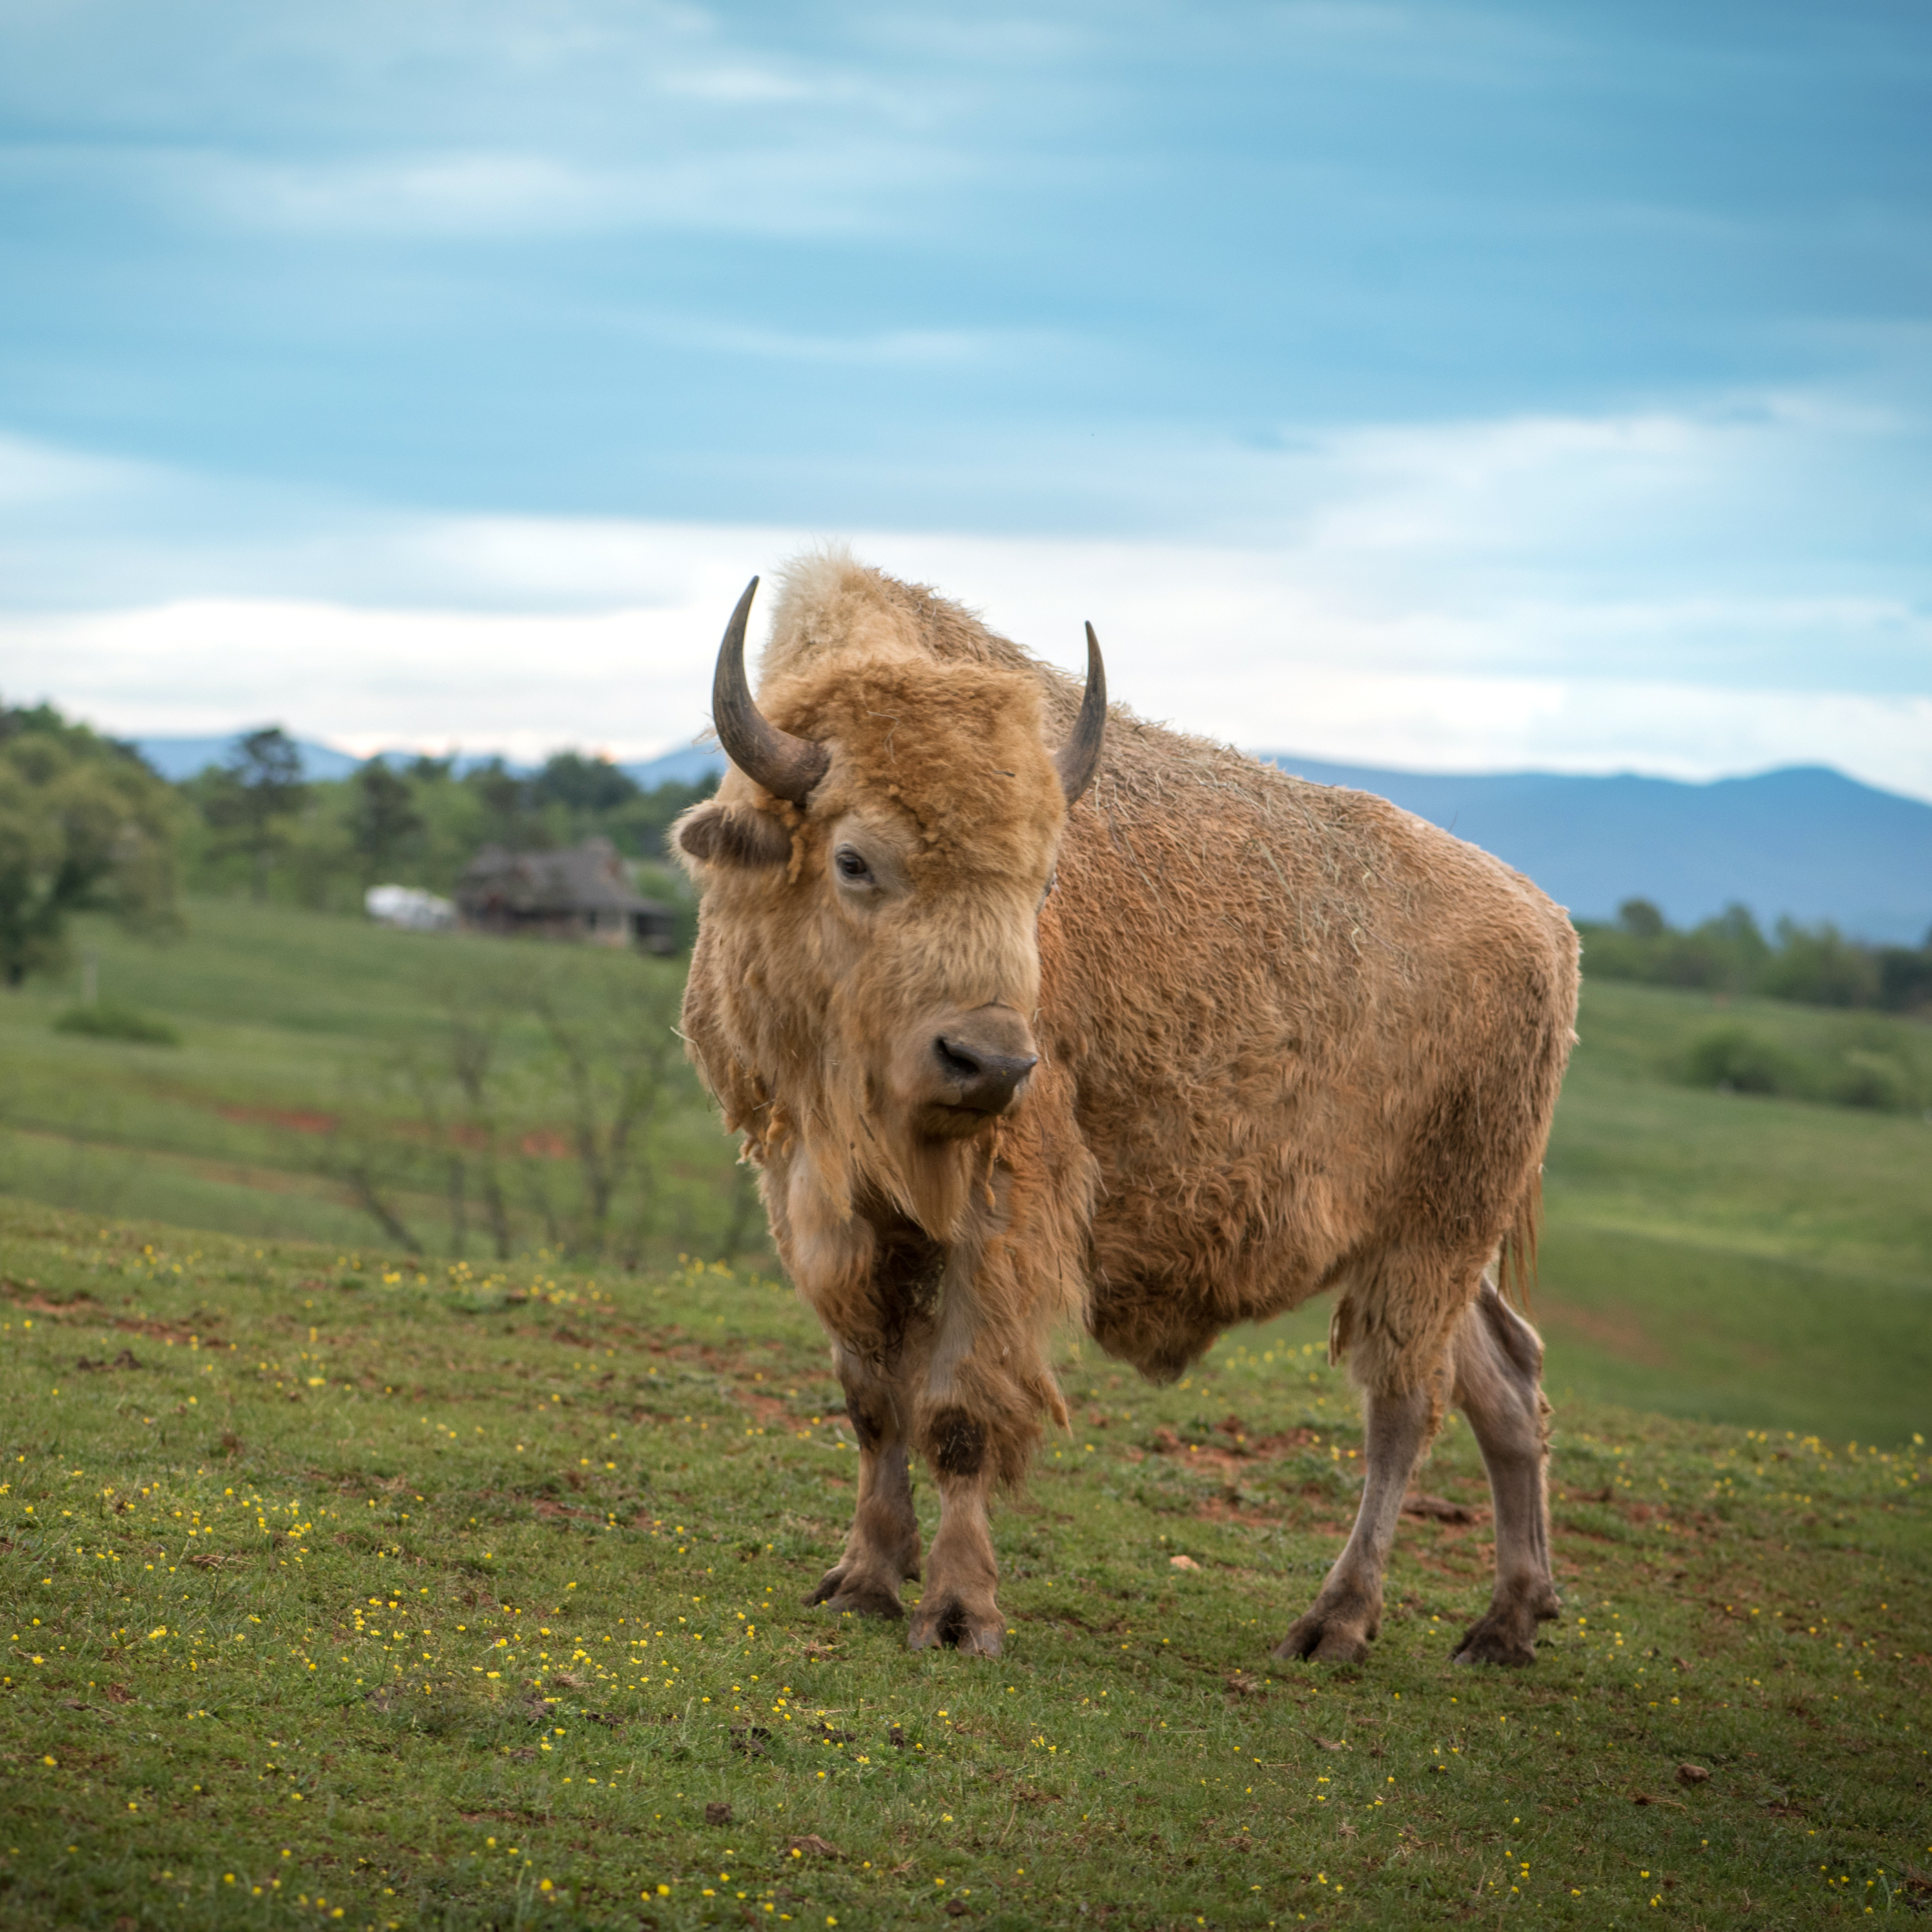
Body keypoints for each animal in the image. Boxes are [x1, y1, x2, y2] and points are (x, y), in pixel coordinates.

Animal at [672, 552, 1576, 1669]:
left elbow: (960, 1413)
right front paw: (864, 1580)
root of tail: (1548, 925)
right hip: (1433, 1246)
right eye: (854, 858)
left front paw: (959, 1613)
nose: (990, 1060)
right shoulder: (822, 1203)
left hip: (1431, 1238)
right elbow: (874, 1401)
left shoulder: (1001, 1222)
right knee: (1506, 1378)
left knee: (1404, 1409)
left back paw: (1335, 1623)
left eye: (1045, 877)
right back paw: (1506, 1622)